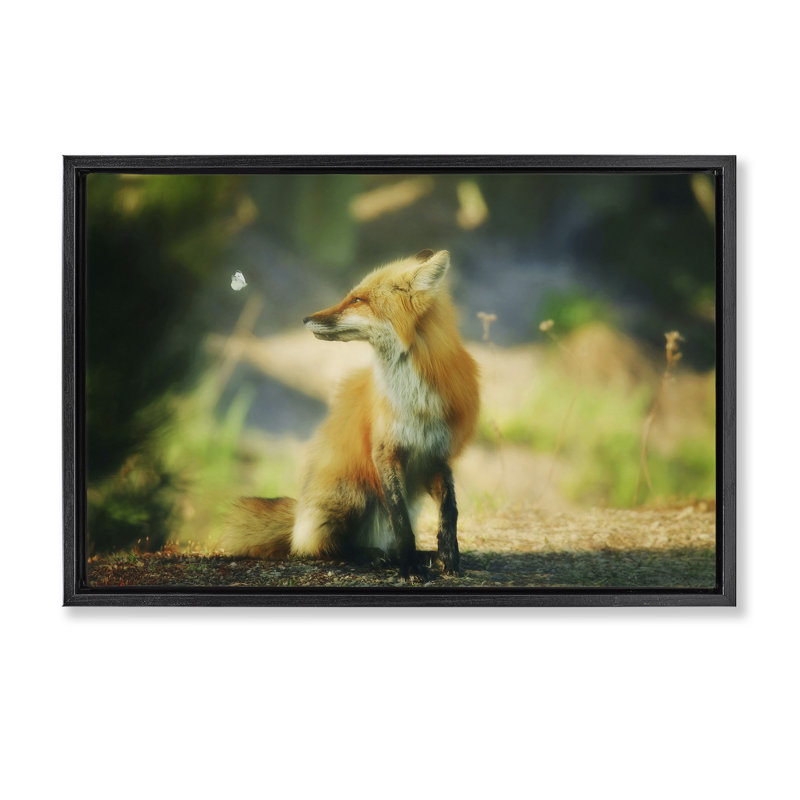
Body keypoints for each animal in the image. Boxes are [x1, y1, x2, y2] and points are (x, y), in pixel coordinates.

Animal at [221, 249, 480, 579]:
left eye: (358, 300)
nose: (305, 318)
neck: (414, 399)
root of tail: (298, 519)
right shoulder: (384, 450)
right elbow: (400, 521)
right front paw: (409, 566)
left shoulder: (437, 453)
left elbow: (450, 510)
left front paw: (448, 558)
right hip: (353, 493)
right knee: (327, 547)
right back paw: (372, 555)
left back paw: (413, 555)